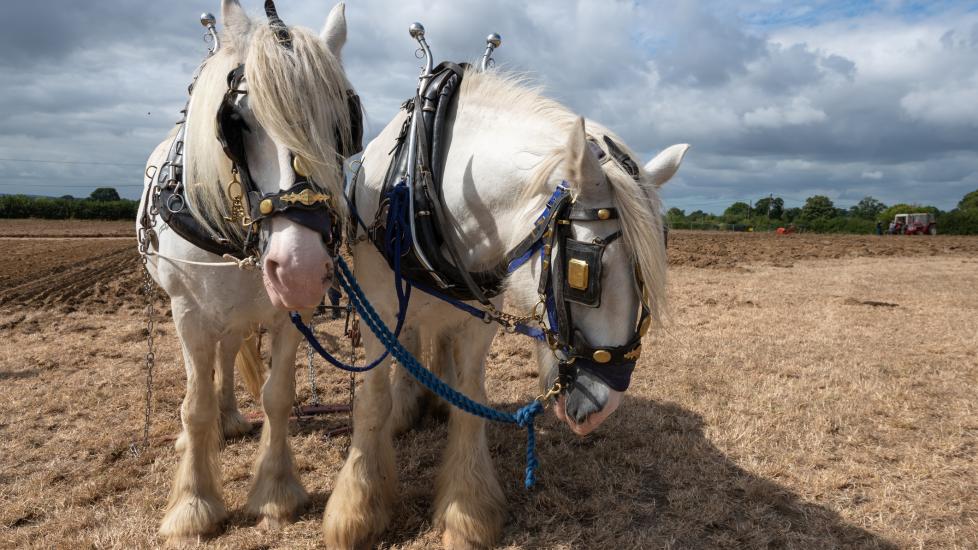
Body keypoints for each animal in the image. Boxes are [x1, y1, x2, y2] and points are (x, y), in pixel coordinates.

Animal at [137, 0, 357, 542]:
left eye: (342, 124)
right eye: (236, 122)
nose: (300, 269)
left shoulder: (288, 315)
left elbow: (278, 396)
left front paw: (276, 493)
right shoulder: (188, 312)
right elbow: (193, 406)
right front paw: (193, 507)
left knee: (229, 349)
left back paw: (231, 417)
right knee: (203, 370)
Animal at [325, 69, 689, 548]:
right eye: (583, 272)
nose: (604, 406)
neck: (426, 184)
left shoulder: (479, 318)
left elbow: (470, 401)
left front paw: (467, 513)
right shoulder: (376, 306)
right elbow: (372, 401)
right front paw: (357, 512)